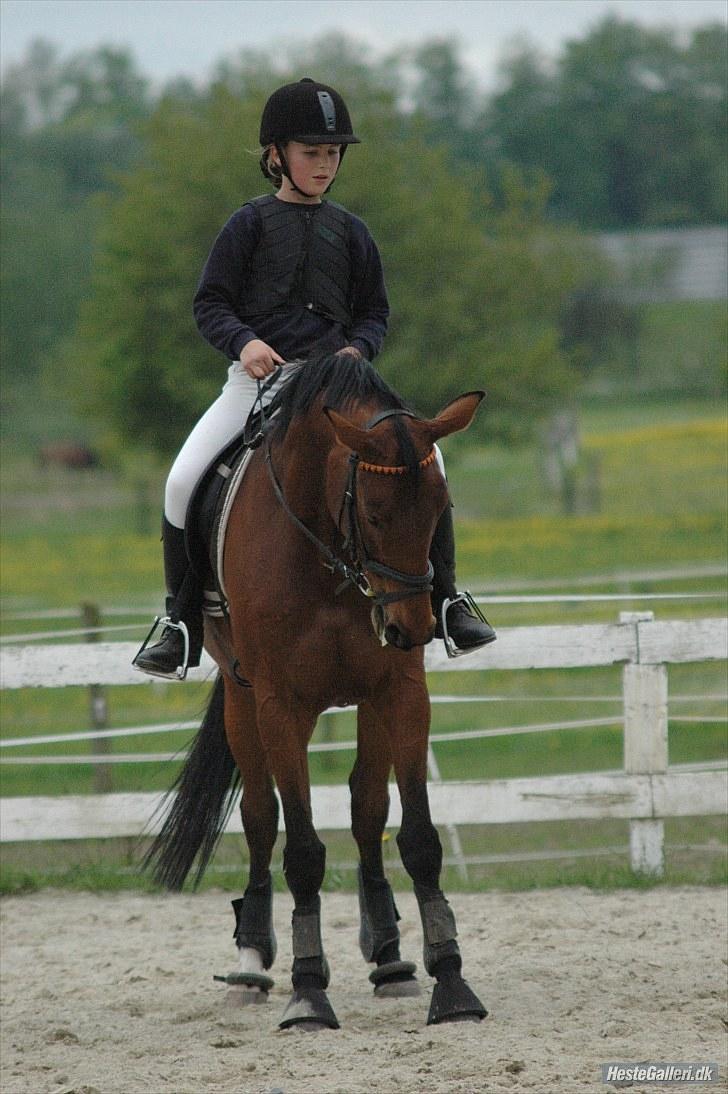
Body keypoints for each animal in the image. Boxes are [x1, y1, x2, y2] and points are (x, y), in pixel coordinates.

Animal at [146, 354, 488, 1028]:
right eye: (375, 514)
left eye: (439, 511)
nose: (410, 628)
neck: (328, 555)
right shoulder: (281, 706)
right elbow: (300, 847)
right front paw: (308, 992)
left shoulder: (400, 693)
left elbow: (417, 837)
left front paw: (452, 984)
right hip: (241, 699)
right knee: (259, 817)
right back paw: (251, 965)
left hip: (368, 703)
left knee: (366, 808)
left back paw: (390, 959)